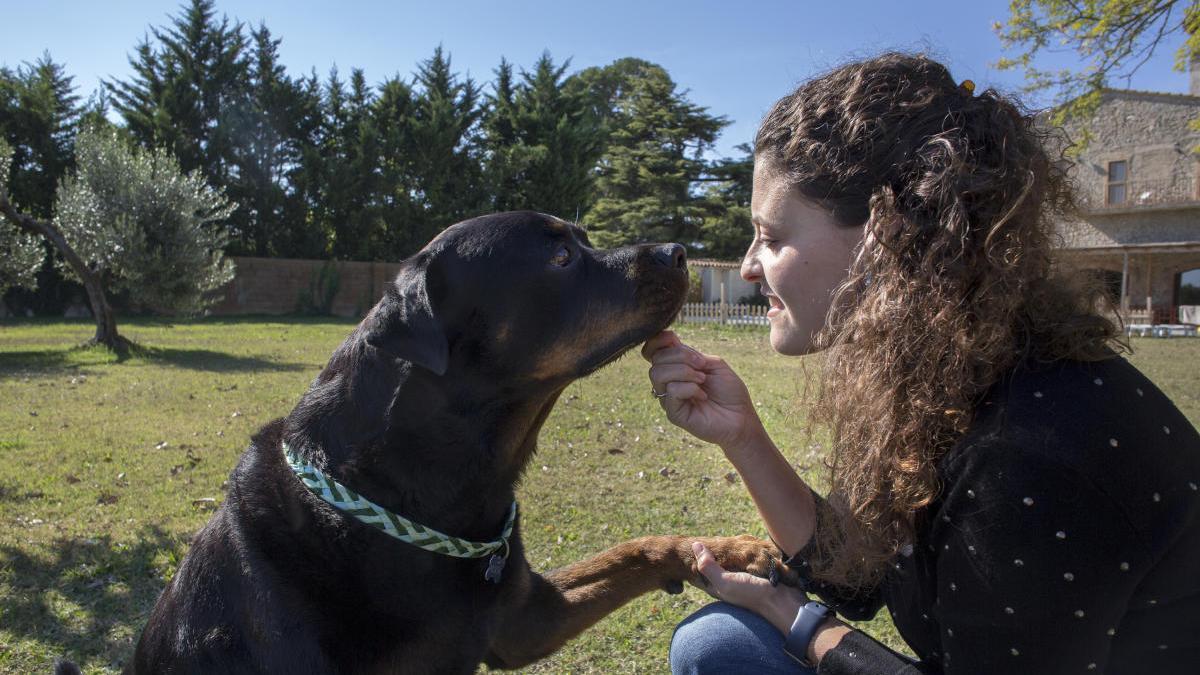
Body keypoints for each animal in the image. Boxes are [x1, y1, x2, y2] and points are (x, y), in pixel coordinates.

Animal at [129, 208, 787, 667]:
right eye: (561, 256)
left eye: (582, 239)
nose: (679, 252)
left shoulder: (523, 622)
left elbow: (637, 548)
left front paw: (730, 551)